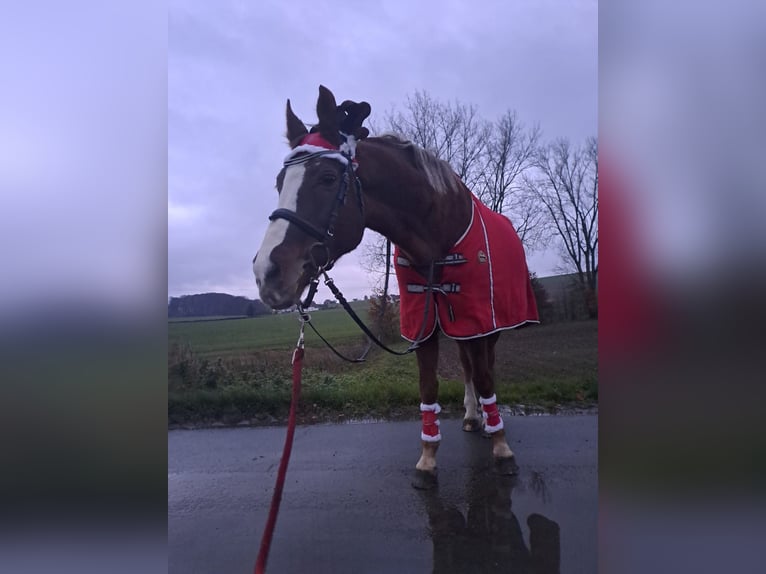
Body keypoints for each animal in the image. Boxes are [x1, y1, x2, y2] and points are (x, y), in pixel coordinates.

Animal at [253, 85, 539, 487]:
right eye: (280, 183)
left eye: (327, 178)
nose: (267, 272)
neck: (439, 233)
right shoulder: (425, 322)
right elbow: (430, 386)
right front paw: (428, 457)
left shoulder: (480, 320)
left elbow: (485, 378)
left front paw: (501, 448)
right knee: (466, 365)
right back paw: (472, 416)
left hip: (487, 327)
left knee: (484, 368)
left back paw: (486, 420)